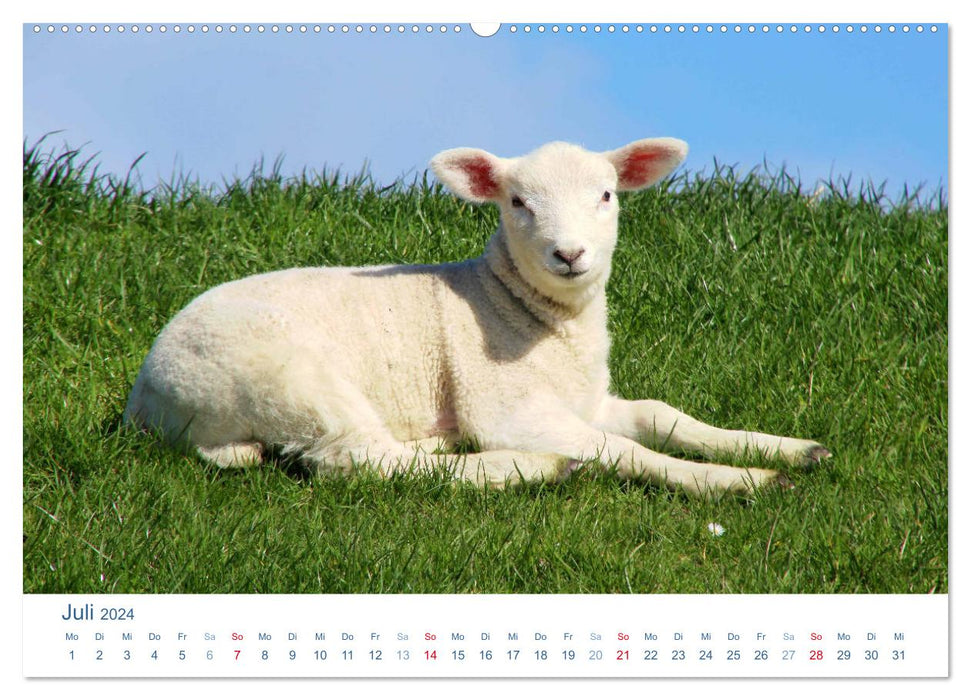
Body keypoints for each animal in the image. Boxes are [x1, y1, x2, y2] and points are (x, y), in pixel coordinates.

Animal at [125, 138, 832, 498]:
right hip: (288, 377)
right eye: (517, 202)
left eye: (606, 195)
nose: (568, 253)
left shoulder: (586, 399)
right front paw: (733, 479)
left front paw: (786, 448)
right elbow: (624, 449)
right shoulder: (509, 405)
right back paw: (528, 467)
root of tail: (145, 401)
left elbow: (663, 417)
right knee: (358, 460)